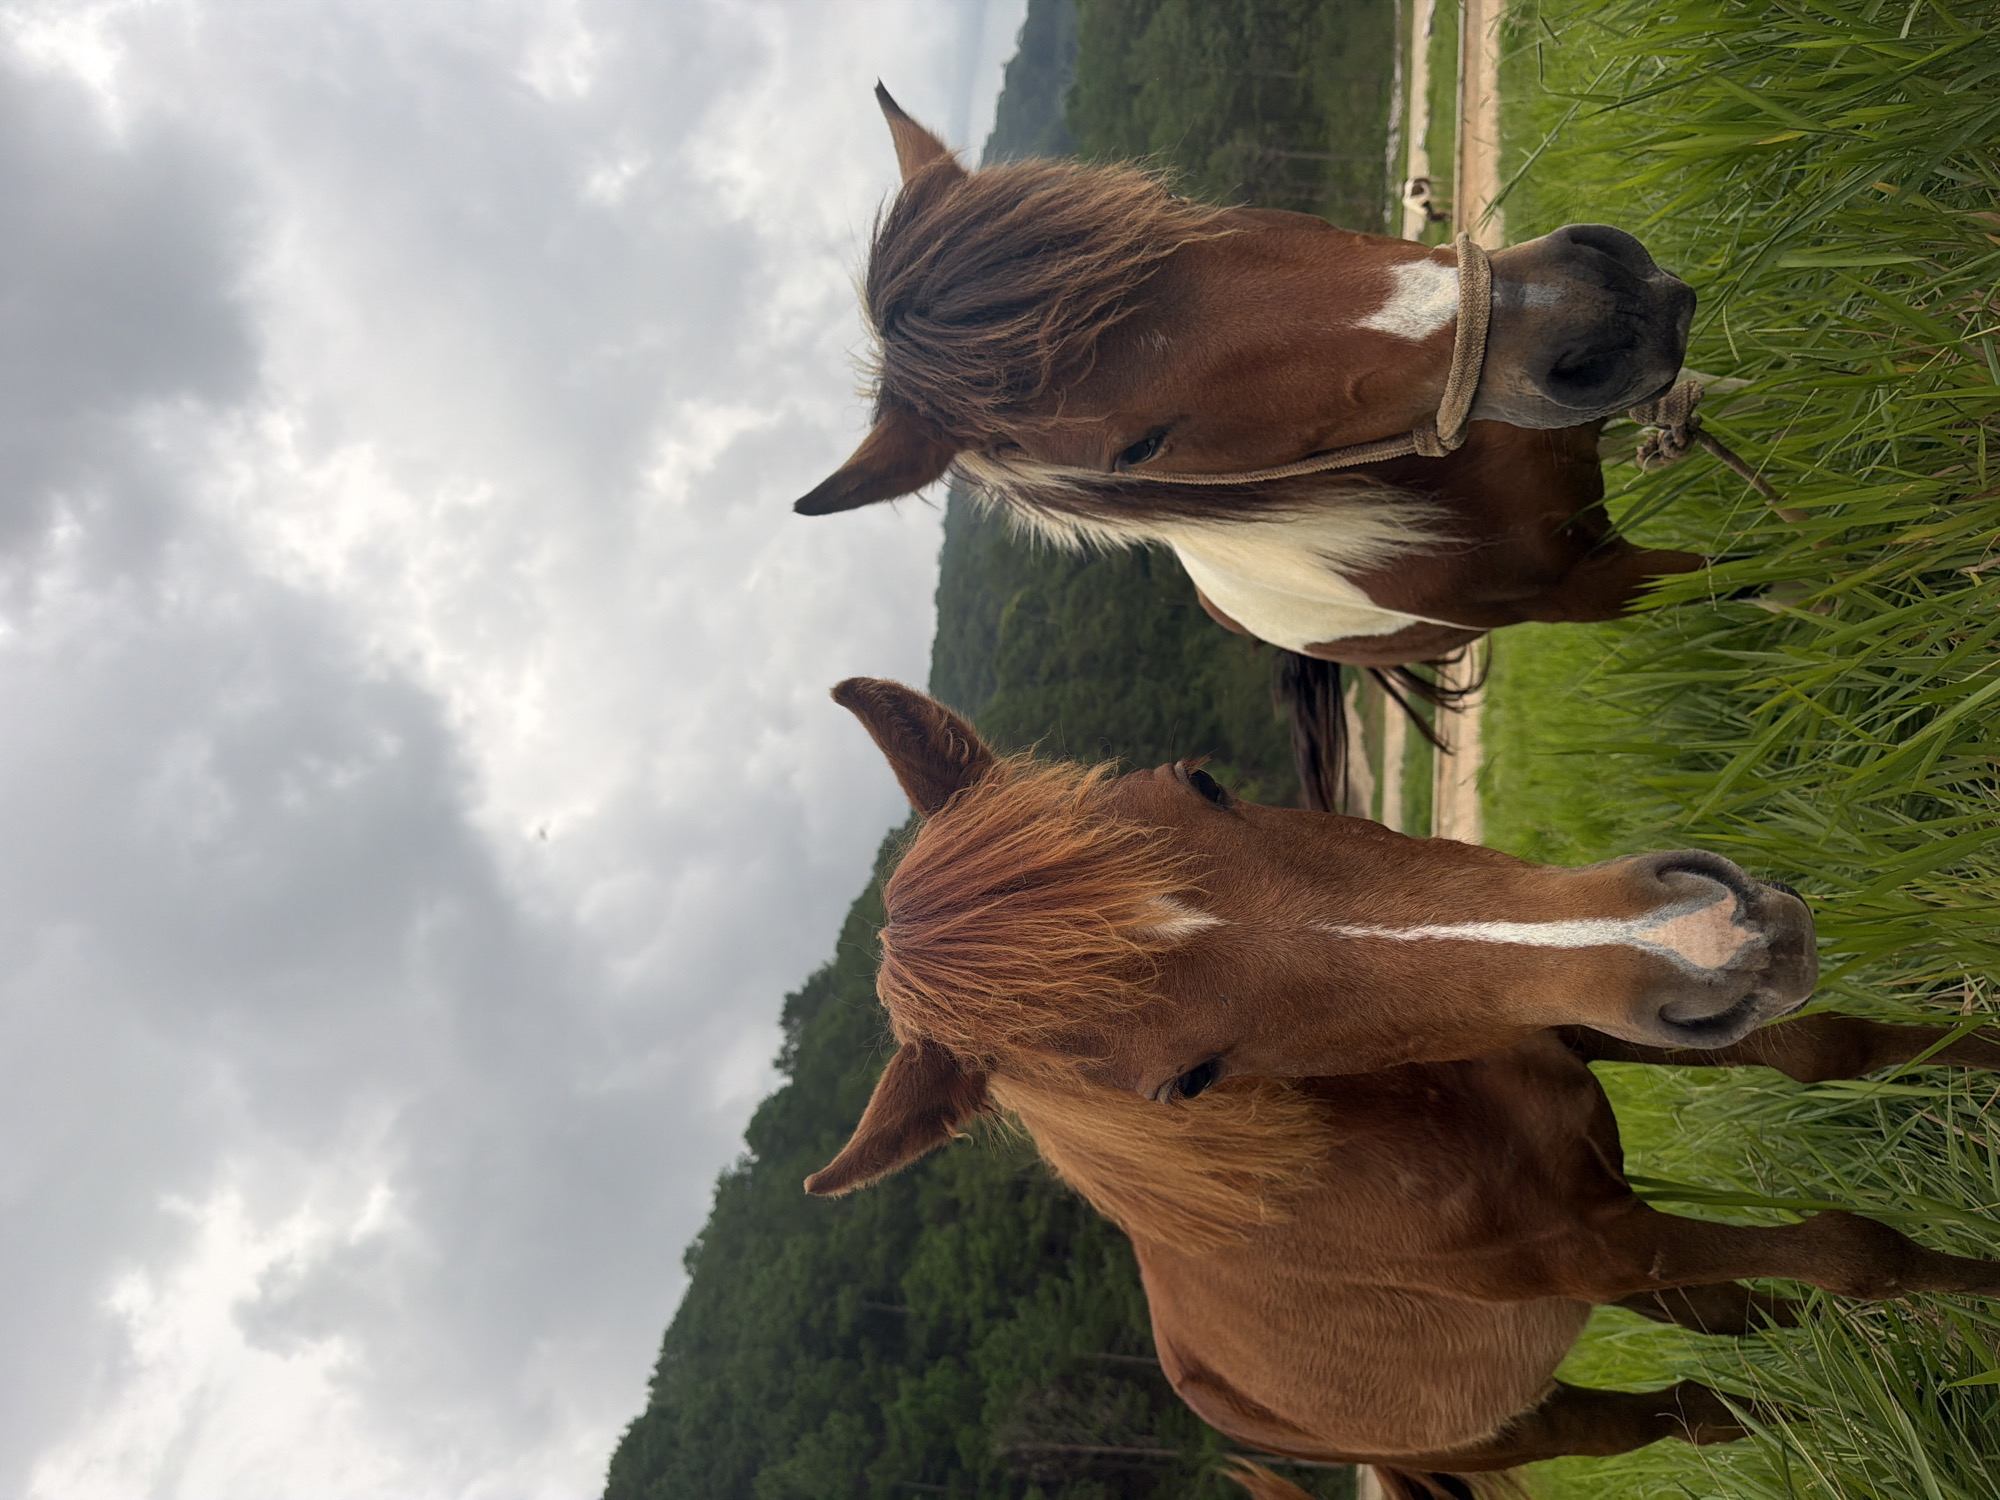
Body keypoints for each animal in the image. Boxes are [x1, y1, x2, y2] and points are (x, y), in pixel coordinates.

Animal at [807, 677, 2000, 1500]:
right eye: (1184, 1082)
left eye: (1200, 780)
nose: (1706, 935)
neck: (1411, 1132)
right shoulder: (1607, 1245)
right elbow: (1859, 1254)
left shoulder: (1573, 1020)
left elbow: (1828, 1052)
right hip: (1534, 1412)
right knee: (1690, 1412)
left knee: (1728, 1327)